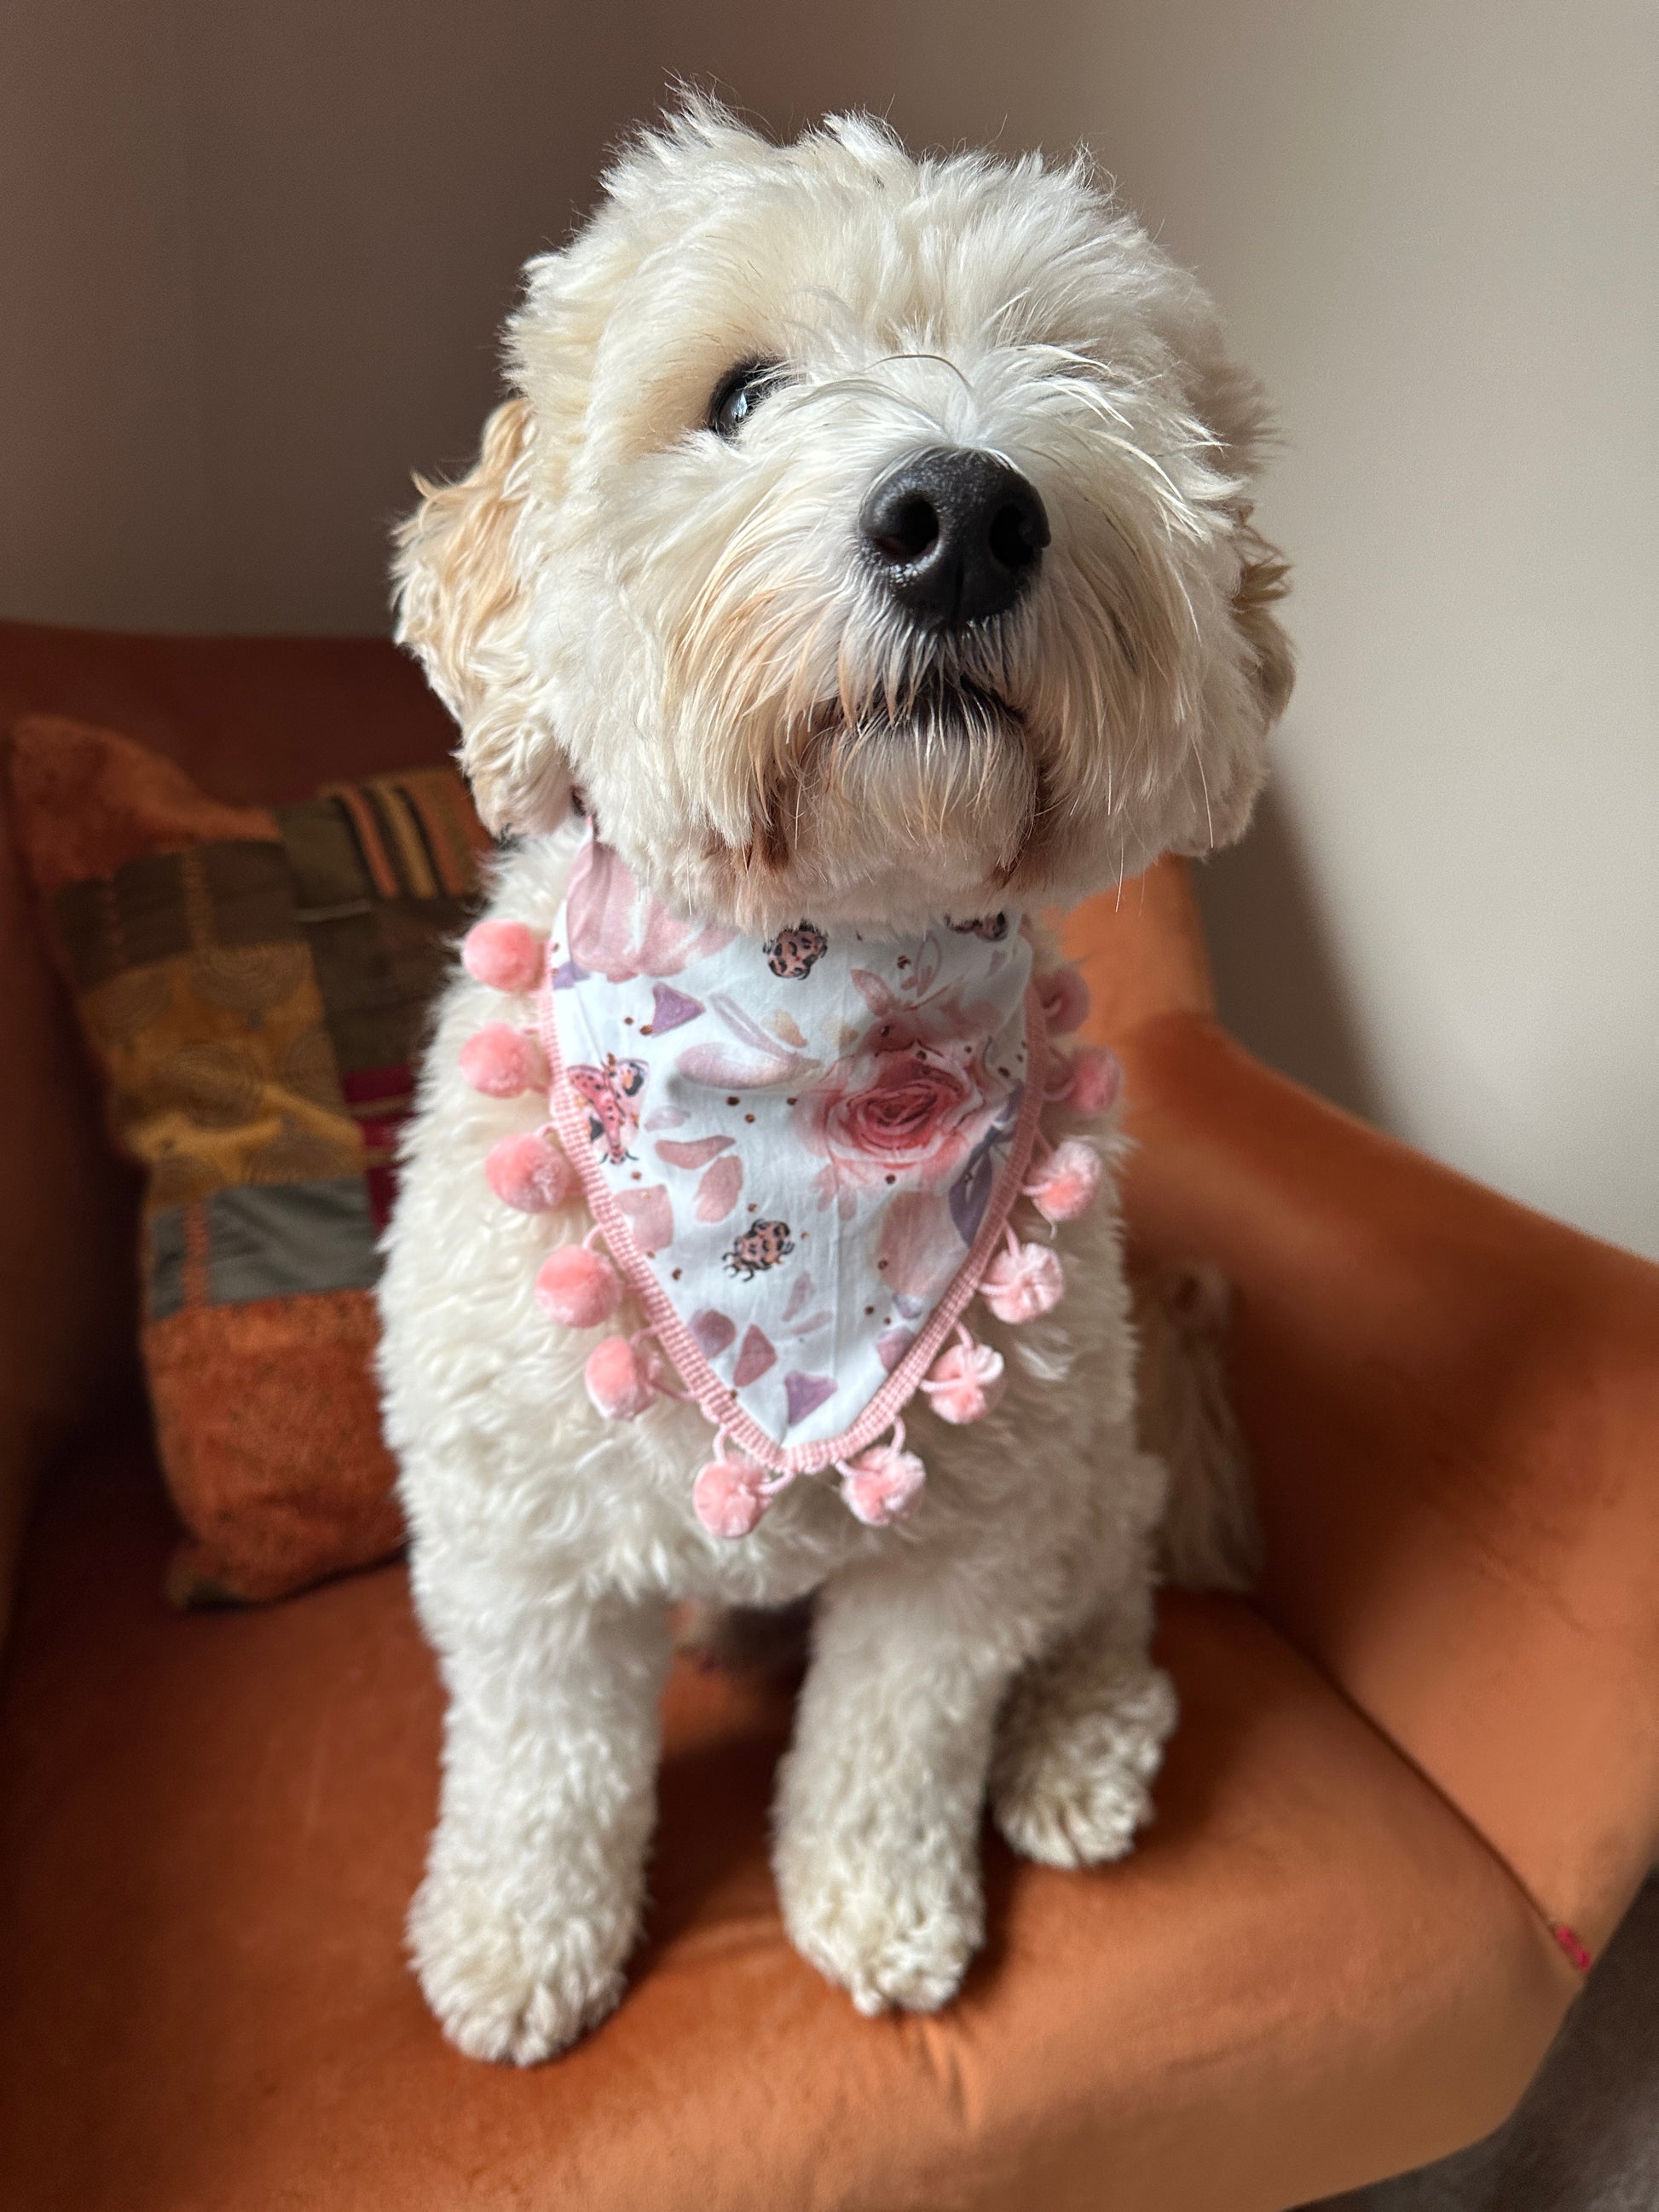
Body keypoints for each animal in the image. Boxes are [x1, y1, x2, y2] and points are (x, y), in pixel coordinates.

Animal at [382, 103, 1292, 2061]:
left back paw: (1079, 1748)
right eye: (739, 392)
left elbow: (893, 1744)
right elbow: (539, 1763)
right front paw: (517, 1939)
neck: (814, 975)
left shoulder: (962, 1556)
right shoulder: (516, 1545)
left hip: (1087, 1452)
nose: (961, 517)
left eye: (1071, 370)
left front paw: (877, 1911)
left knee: (1113, 1590)